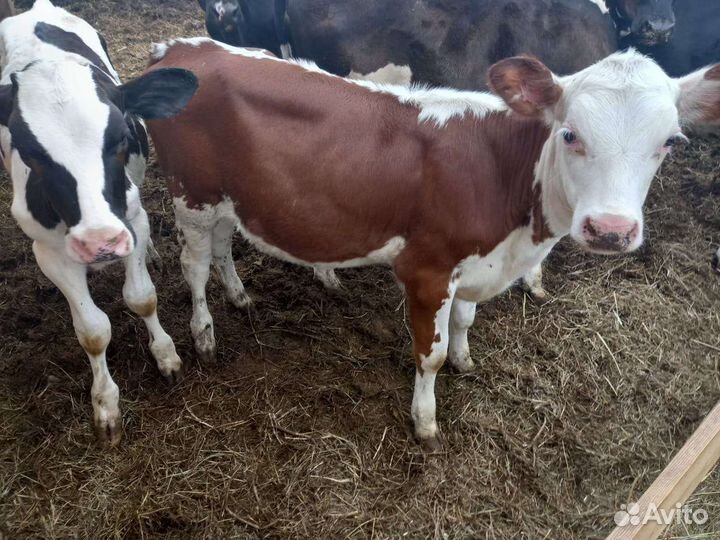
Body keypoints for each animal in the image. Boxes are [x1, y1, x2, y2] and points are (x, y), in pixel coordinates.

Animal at [0, 0, 197, 445]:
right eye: (29, 151)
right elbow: (92, 330)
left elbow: (142, 297)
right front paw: (106, 404)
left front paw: (166, 355)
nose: (100, 242)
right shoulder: (49, 251)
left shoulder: (132, 220)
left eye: (121, 136)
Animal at [145, 37, 720, 450]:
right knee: (194, 267)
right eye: (569, 133)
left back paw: (239, 295)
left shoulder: (475, 265)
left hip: (228, 197)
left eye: (670, 142)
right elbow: (431, 355)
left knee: (223, 246)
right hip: (190, 194)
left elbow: (464, 323)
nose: (611, 230)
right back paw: (200, 337)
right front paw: (425, 421)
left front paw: (467, 360)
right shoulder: (426, 271)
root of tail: (182, 47)